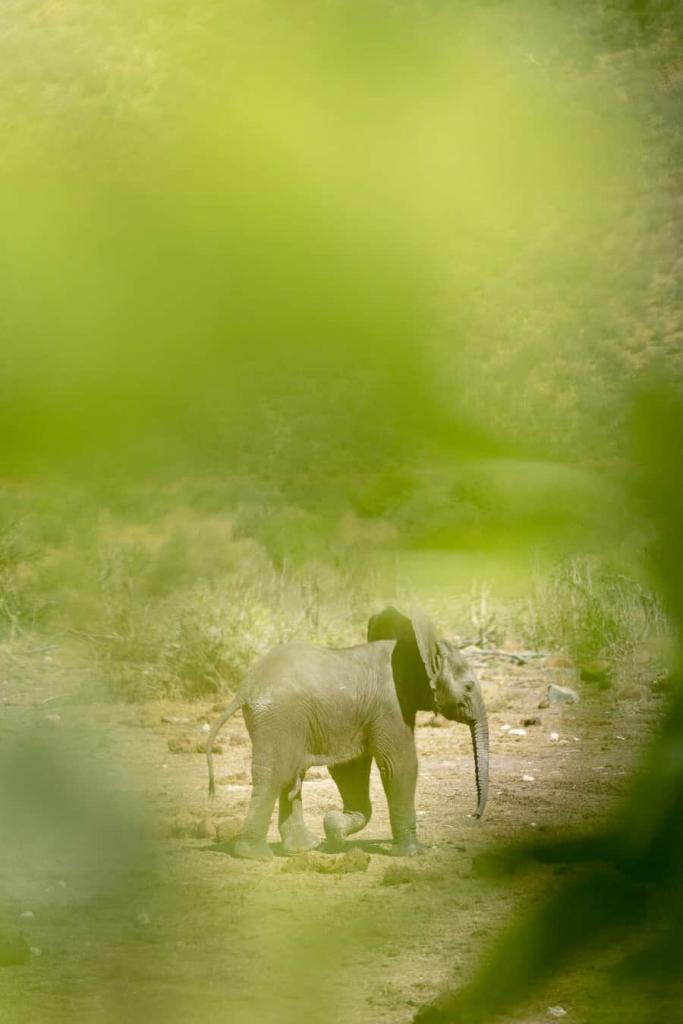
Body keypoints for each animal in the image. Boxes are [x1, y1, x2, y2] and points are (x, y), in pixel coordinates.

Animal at [205, 602, 489, 860]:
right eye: (468, 687)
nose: (475, 815)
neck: (412, 648)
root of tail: (246, 687)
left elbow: (350, 768)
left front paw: (335, 831)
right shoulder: (391, 705)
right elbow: (399, 765)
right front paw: (413, 853)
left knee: (292, 774)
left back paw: (303, 848)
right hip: (279, 716)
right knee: (277, 773)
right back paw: (255, 855)